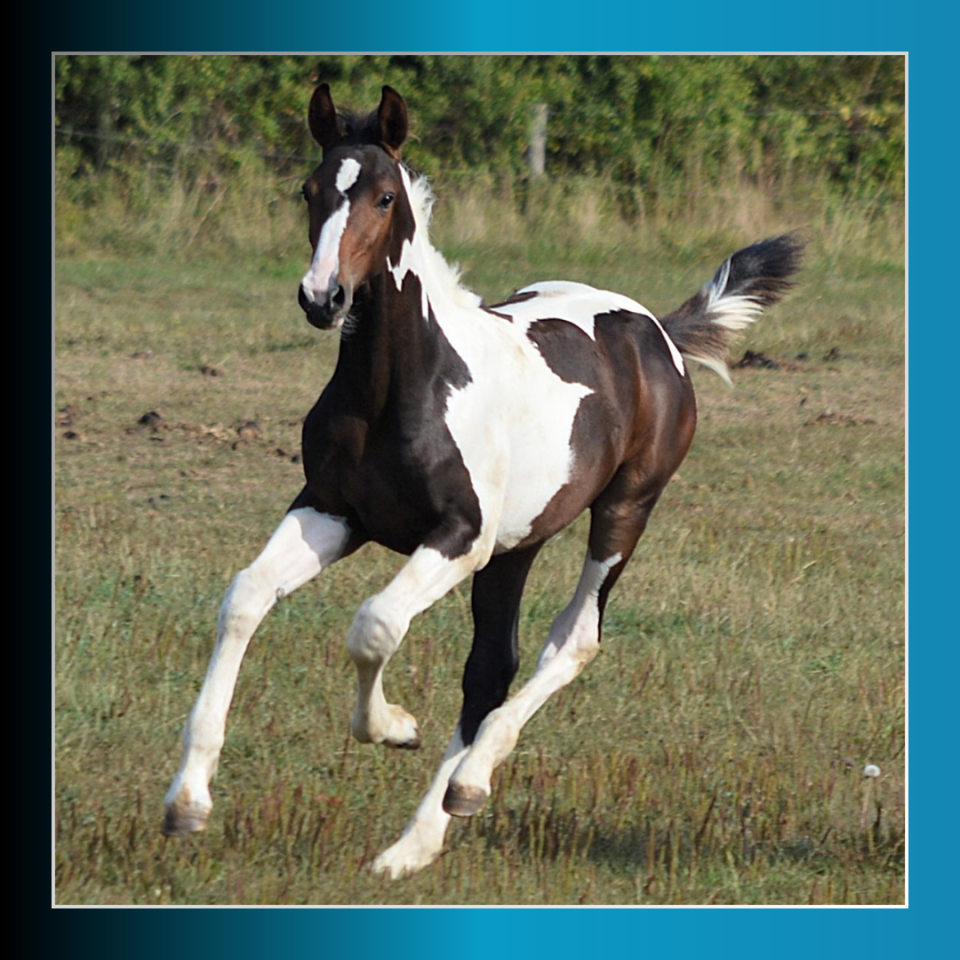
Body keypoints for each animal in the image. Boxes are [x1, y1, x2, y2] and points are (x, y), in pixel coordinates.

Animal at [163, 83, 803, 878]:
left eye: (383, 197)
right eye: (308, 191)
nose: (323, 297)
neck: (401, 386)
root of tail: (657, 329)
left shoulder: (458, 537)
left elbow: (374, 625)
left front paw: (394, 726)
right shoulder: (332, 512)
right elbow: (246, 597)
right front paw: (188, 801)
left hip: (623, 510)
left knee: (574, 637)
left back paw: (466, 784)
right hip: (516, 546)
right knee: (492, 665)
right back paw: (414, 844)